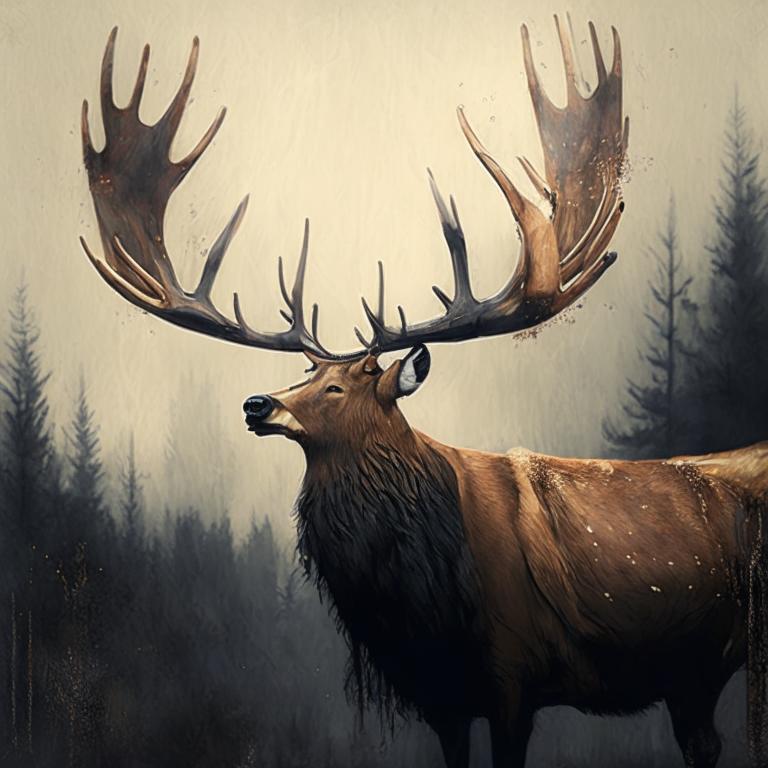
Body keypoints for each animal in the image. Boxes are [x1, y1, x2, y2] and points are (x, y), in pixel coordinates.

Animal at [80, 18, 768, 768]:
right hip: (690, 676)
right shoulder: (442, 697)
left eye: (343, 386)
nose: (258, 404)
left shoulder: (513, 674)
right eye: (304, 375)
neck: (420, 606)